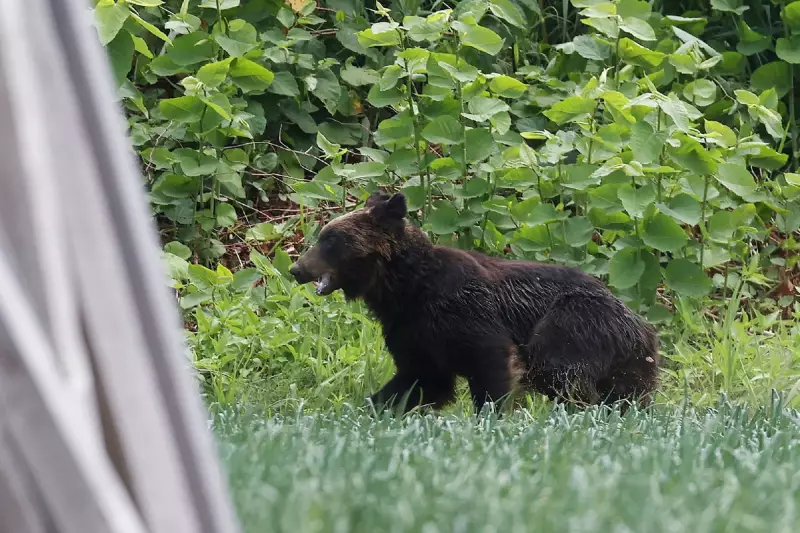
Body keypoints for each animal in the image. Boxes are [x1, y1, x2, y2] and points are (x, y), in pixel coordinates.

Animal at [289, 191, 660, 413]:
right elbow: (420, 380)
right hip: (631, 362)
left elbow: (491, 363)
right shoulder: (412, 333)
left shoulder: (464, 312)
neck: (403, 289)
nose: (296, 268)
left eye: (330, 240)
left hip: (575, 322)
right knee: (627, 395)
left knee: (560, 371)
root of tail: (641, 324)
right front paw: (371, 407)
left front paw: (490, 417)